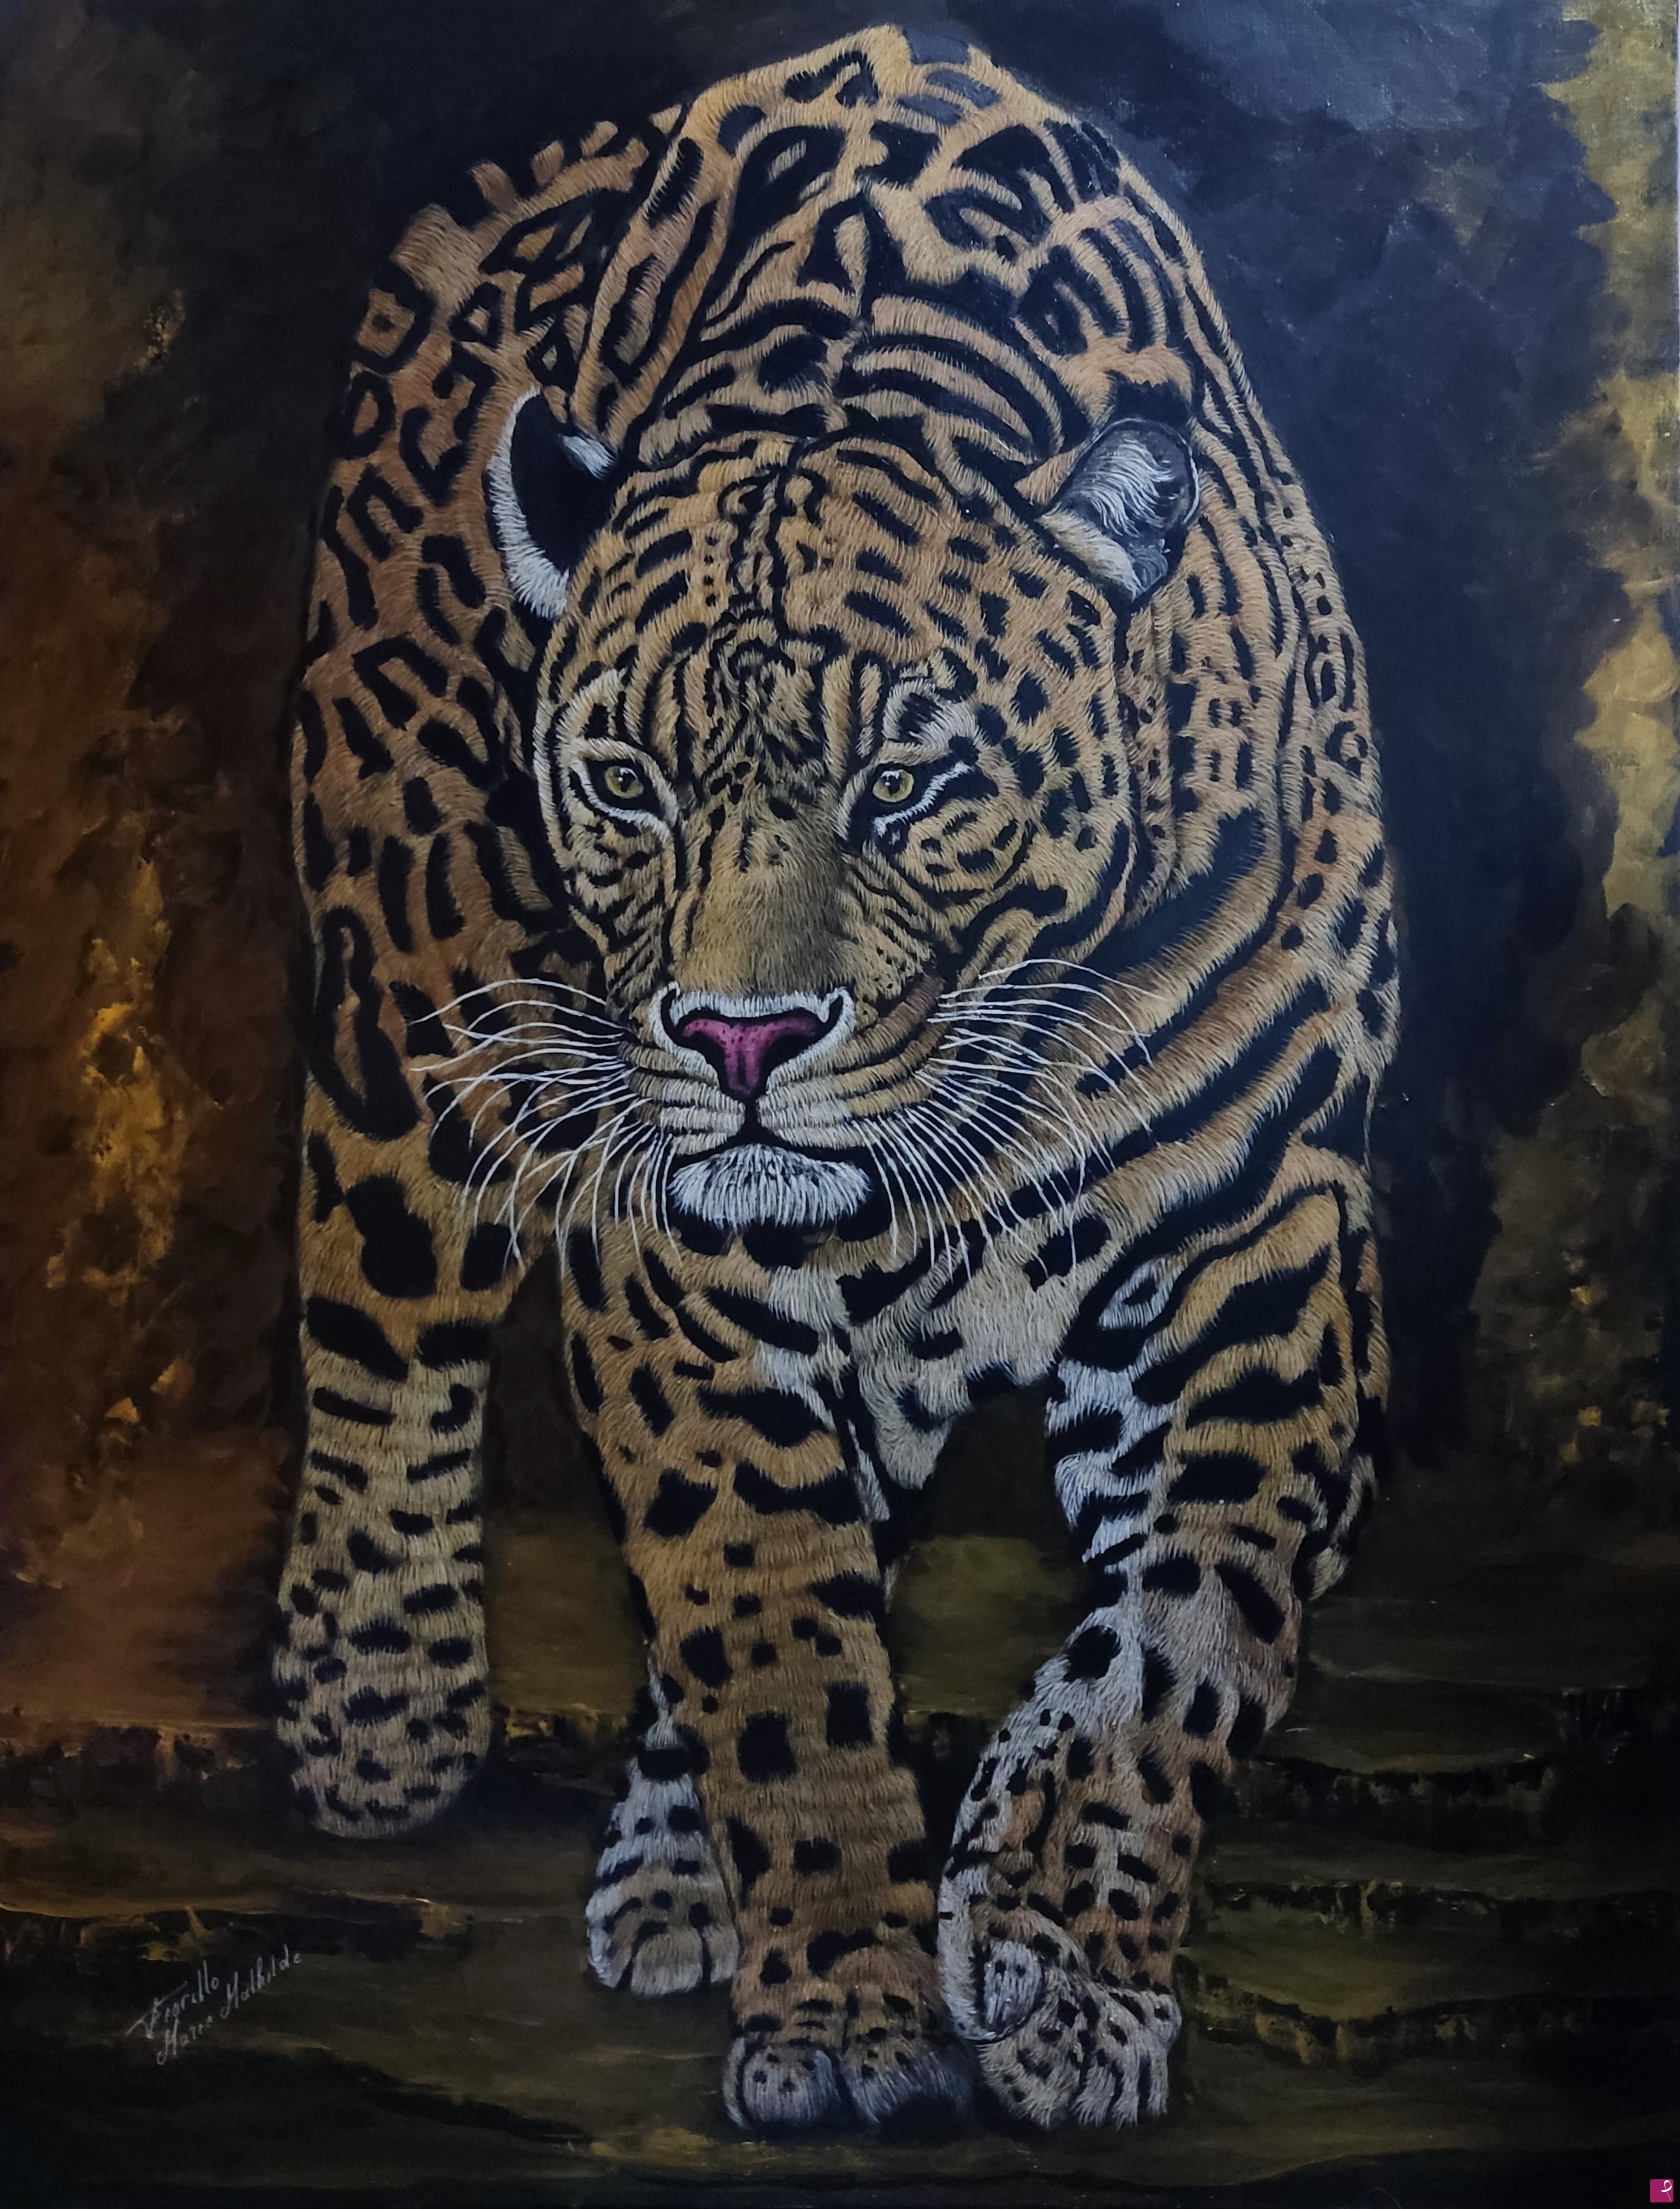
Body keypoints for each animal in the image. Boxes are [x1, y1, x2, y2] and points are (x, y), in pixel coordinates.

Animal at [271, 25, 1395, 2136]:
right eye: (624, 783)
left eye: (910, 781)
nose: (735, 1044)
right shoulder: (676, 1267)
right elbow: (774, 1641)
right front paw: (857, 2017)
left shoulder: (1263, 1229)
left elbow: (1185, 1636)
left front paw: (1057, 1960)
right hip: (408, 974)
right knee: (377, 1312)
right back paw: (375, 1716)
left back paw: (664, 1867)